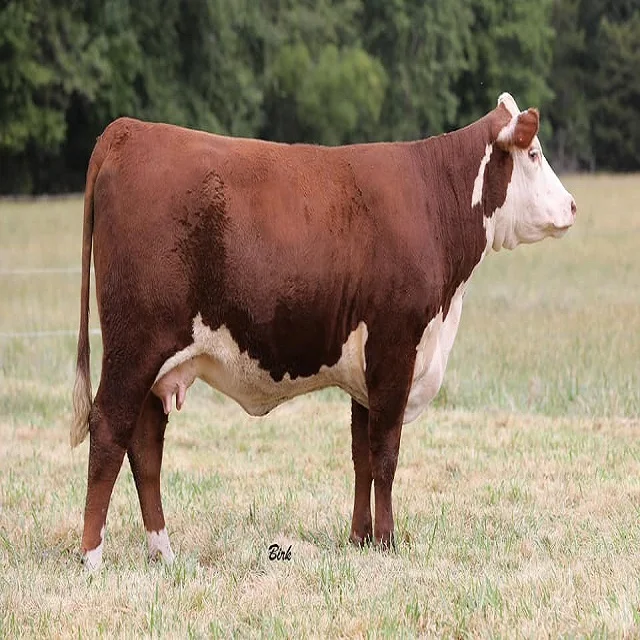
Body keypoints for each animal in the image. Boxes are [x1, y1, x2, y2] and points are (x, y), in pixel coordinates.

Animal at [71, 93, 576, 570]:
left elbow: (361, 455)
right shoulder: (395, 348)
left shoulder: (366, 370)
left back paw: (163, 552)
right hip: (134, 346)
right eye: (533, 154)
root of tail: (128, 130)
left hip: (158, 362)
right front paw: (388, 542)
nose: (572, 205)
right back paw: (92, 557)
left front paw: (359, 539)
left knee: (145, 444)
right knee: (110, 427)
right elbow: (385, 454)